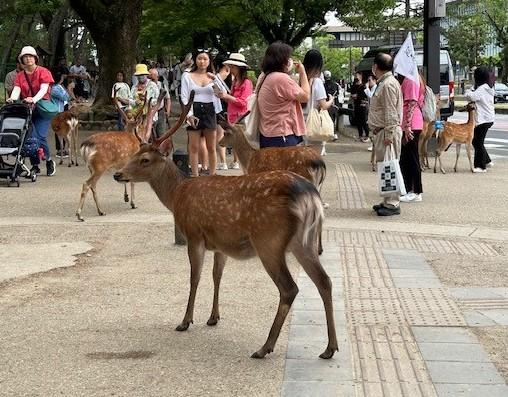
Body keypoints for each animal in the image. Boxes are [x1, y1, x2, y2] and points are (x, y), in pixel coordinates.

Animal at [75, 88, 171, 221]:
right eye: (141, 126)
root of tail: (86, 145)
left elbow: (125, 179)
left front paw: (126, 197)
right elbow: (133, 182)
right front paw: (133, 203)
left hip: (91, 167)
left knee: (93, 185)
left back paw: (101, 211)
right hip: (99, 165)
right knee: (87, 184)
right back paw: (80, 215)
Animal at [113, 103, 340, 358]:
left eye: (145, 159)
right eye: (134, 153)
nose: (118, 174)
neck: (177, 195)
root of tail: (310, 196)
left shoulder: (194, 234)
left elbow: (194, 277)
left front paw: (185, 321)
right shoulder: (220, 243)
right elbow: (216, 276)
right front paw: (213, 317)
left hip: (269, 240)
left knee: (289, 288)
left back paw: (265, 347)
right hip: (303, 241)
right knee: (325, 281)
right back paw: (330, 348)